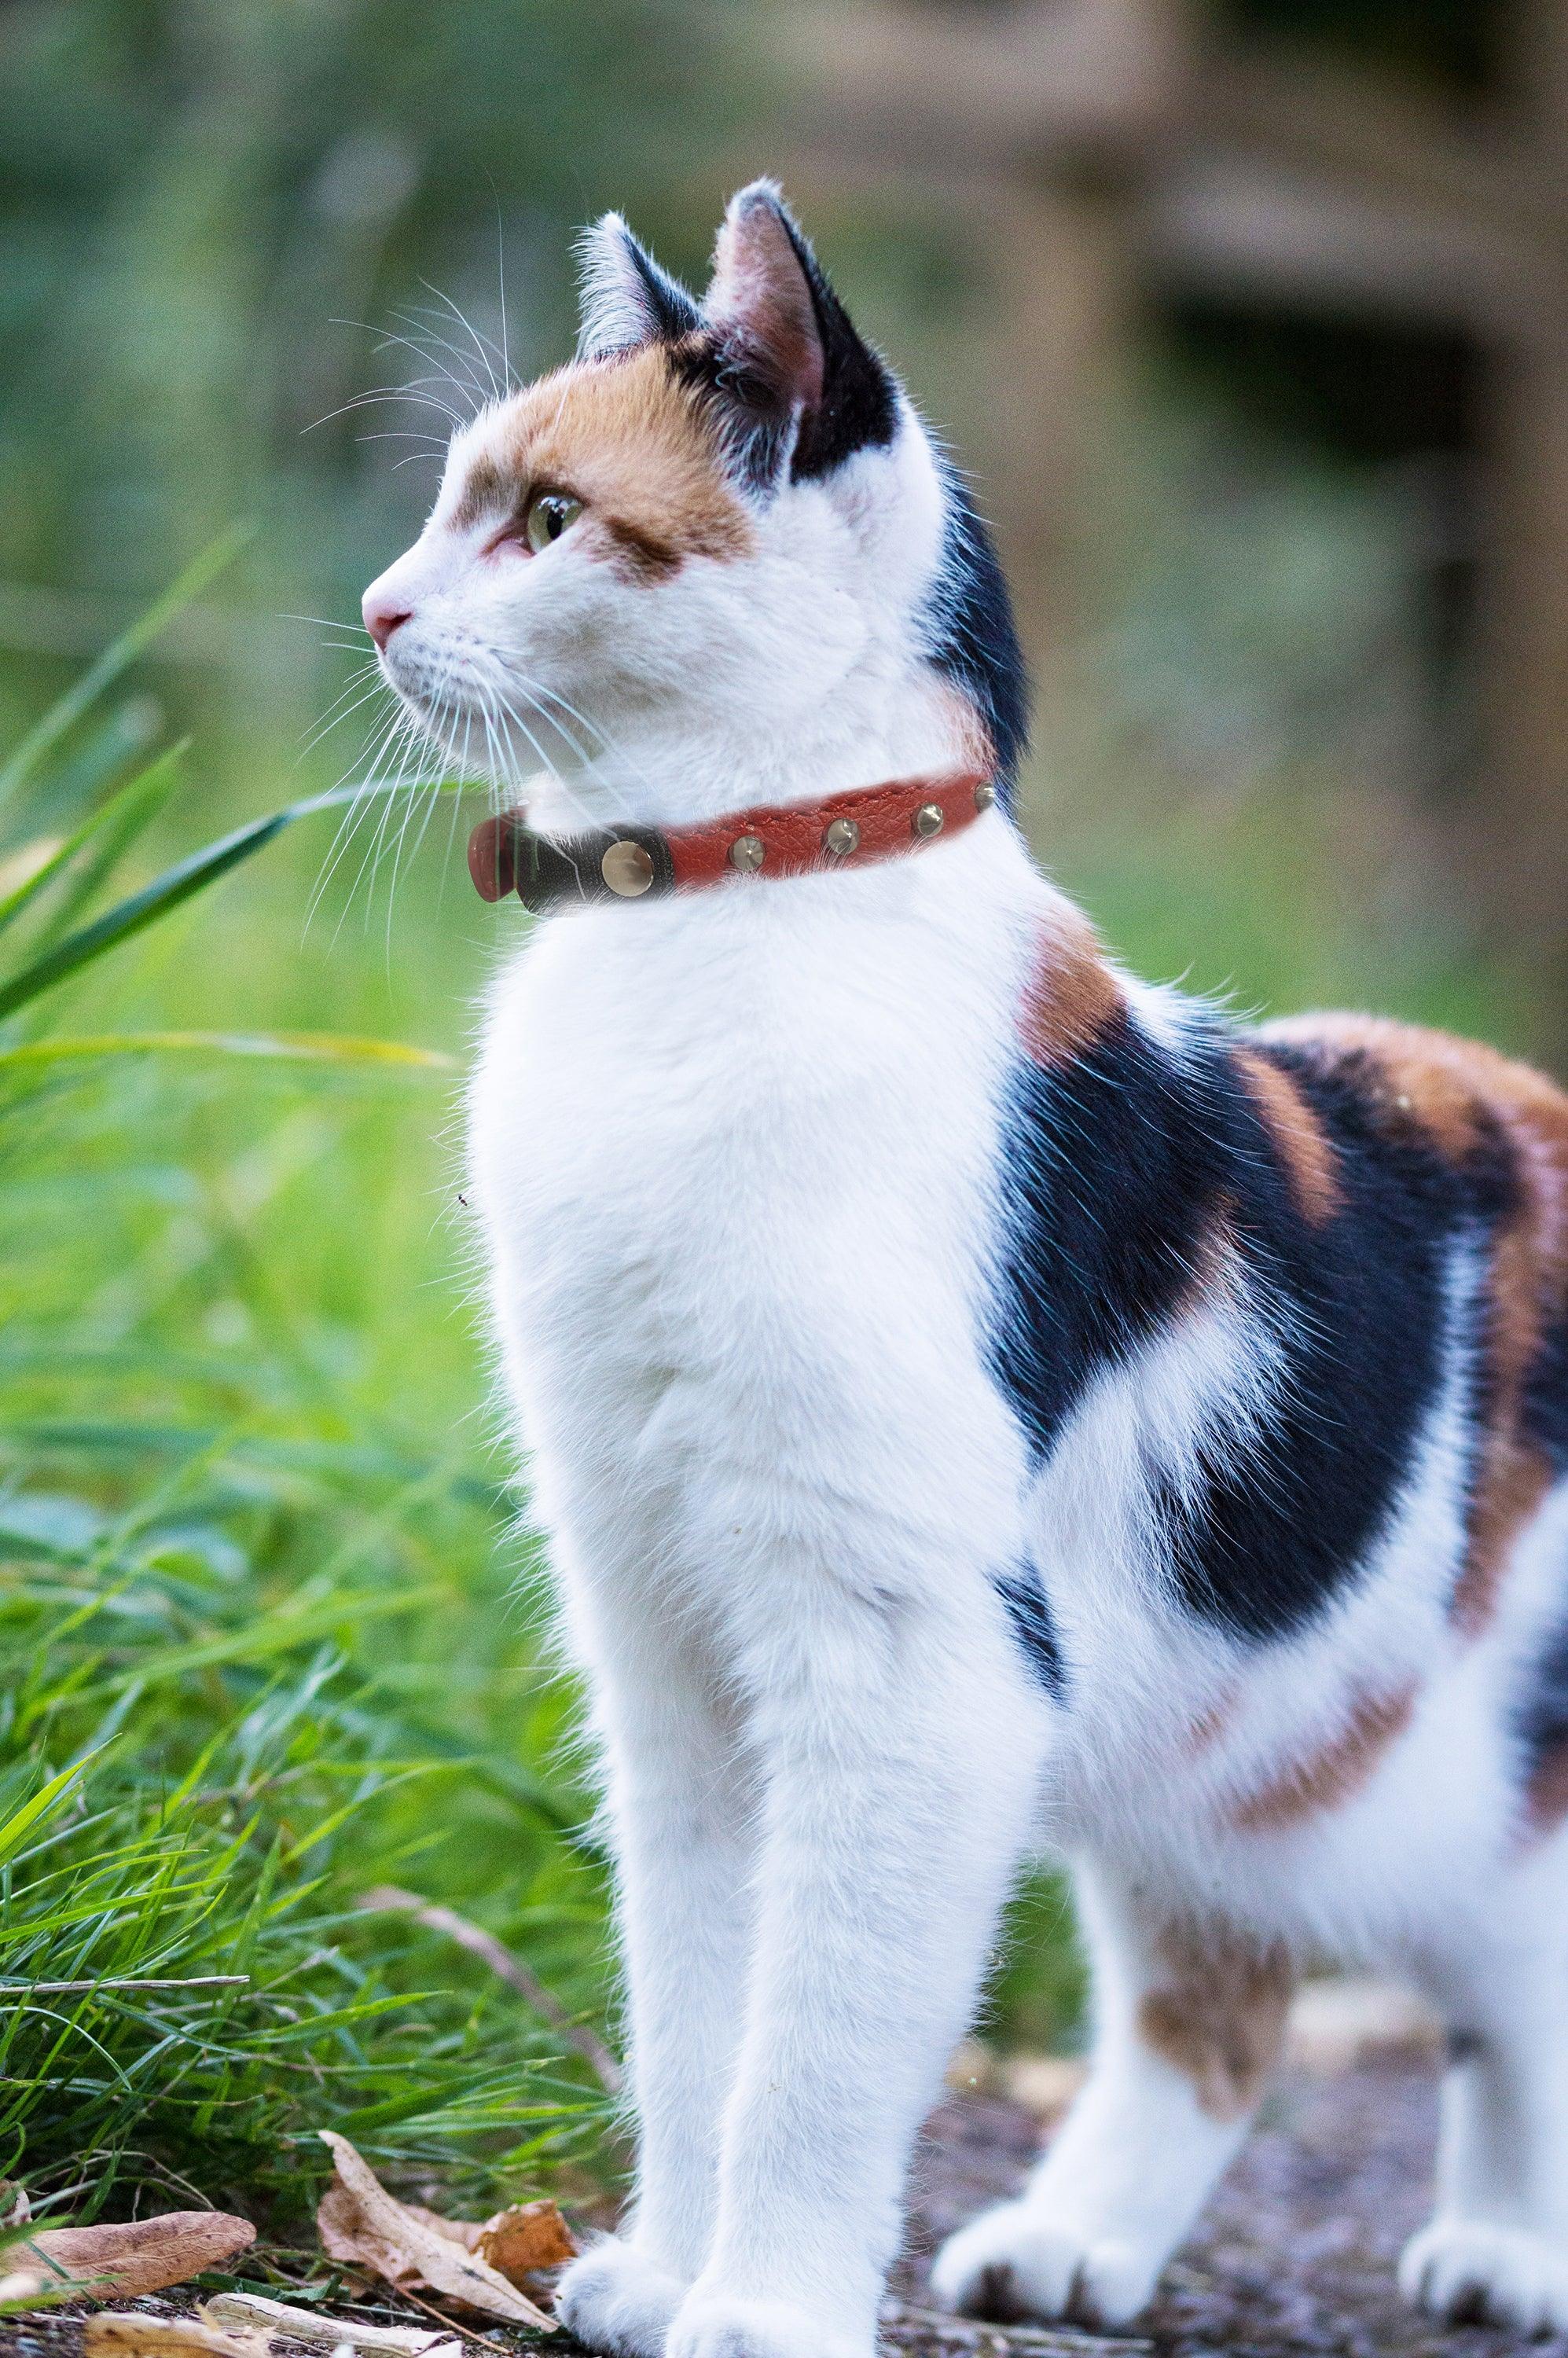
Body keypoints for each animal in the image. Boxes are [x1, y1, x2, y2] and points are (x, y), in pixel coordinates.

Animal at [361, 184, 1566, 2358]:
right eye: (447, 502)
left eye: (550, 517)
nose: (380, 607)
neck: (717, 917)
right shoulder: (662, 1638)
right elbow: (693, 1998)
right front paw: (662, 2270)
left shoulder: (914, 1654)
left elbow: (819, 2037)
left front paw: (762, 2305)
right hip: (1228, 1740)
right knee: (1220, 1999)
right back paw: (1075, 2245)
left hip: (1452, 1765)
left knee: (1513, 1978)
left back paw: (1510, 2247)